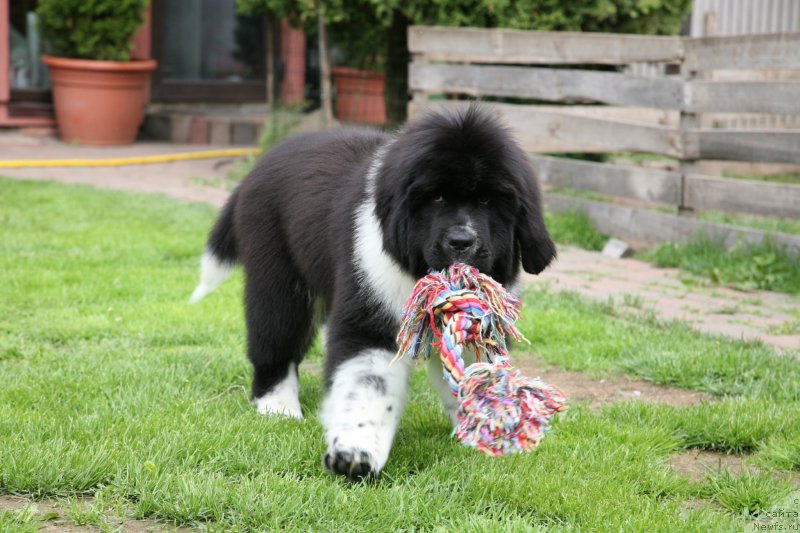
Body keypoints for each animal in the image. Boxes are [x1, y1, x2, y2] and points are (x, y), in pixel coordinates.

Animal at [191, 106, 556, 480]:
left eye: (486, 200)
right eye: (436, 197)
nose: (461, 242)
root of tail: (262, 162)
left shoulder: (476, 325)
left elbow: (474, 375)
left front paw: (485, 431)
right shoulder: (369, 314)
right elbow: (367, 385)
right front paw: (355, 453)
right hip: (278, 275)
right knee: (275, 337)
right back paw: (277, 405)